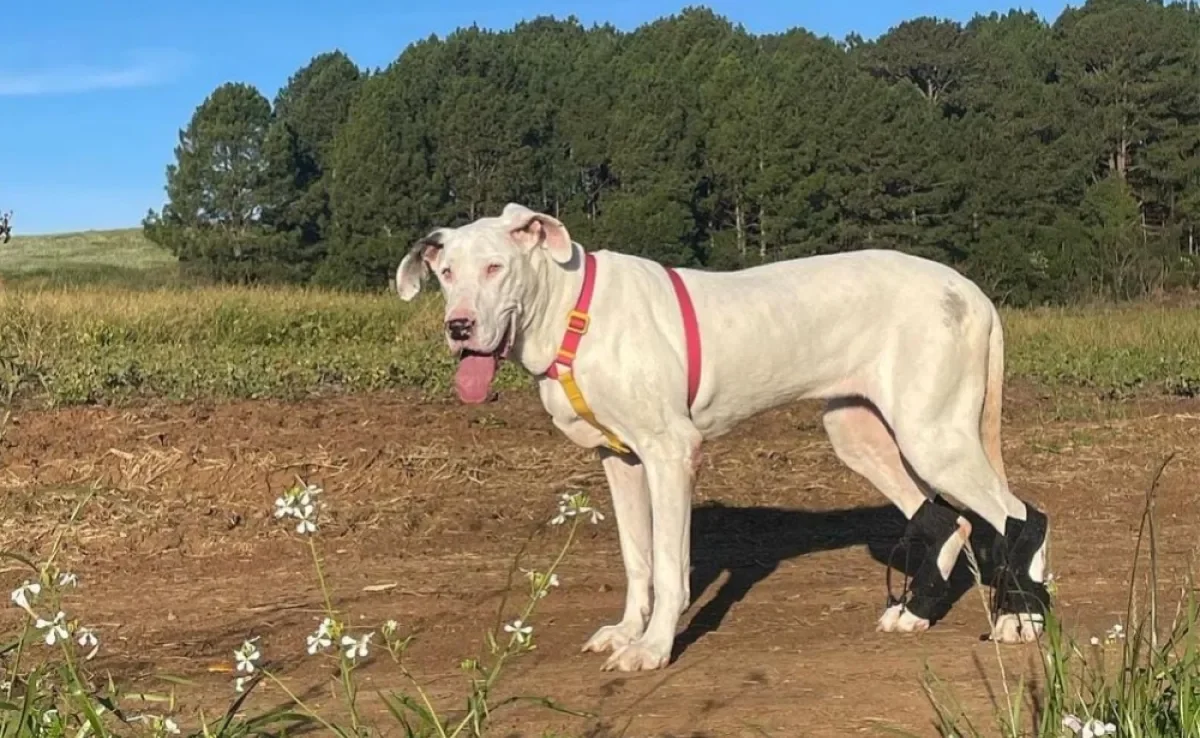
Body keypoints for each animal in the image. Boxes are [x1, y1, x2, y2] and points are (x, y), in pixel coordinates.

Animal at [396, 204, 1051, 676]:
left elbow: (668, 563)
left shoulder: (670, 455)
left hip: (932, 434)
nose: (459, 327)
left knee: (1021, 514)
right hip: (861, 433)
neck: (572, 313)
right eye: (445, 273)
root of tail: (971, 290)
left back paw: (1022, 620)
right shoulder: (620, 461)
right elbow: (637, 559)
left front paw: (653, 648)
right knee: (948, 521)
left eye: (495, 267)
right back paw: (916, 614)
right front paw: (627, 630)